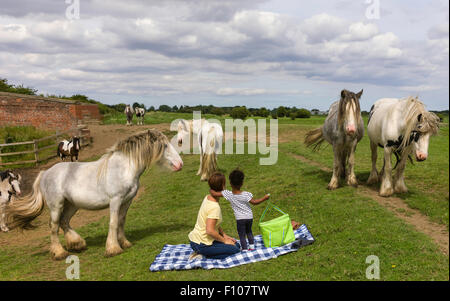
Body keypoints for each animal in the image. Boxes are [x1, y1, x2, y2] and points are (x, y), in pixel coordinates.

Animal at [5, 129, 183, 258]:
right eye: (164, 146)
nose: (180, 164)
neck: (124, 168)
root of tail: (45, 173)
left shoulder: (127, 201)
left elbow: (121, 221)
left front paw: (125, 243)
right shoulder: (116, 200)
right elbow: (113, 222)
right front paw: (113, 249)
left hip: (72, 205)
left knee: (64, 222)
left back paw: (77, 244)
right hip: (56, 206)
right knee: (54, 226)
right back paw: (60, 253)